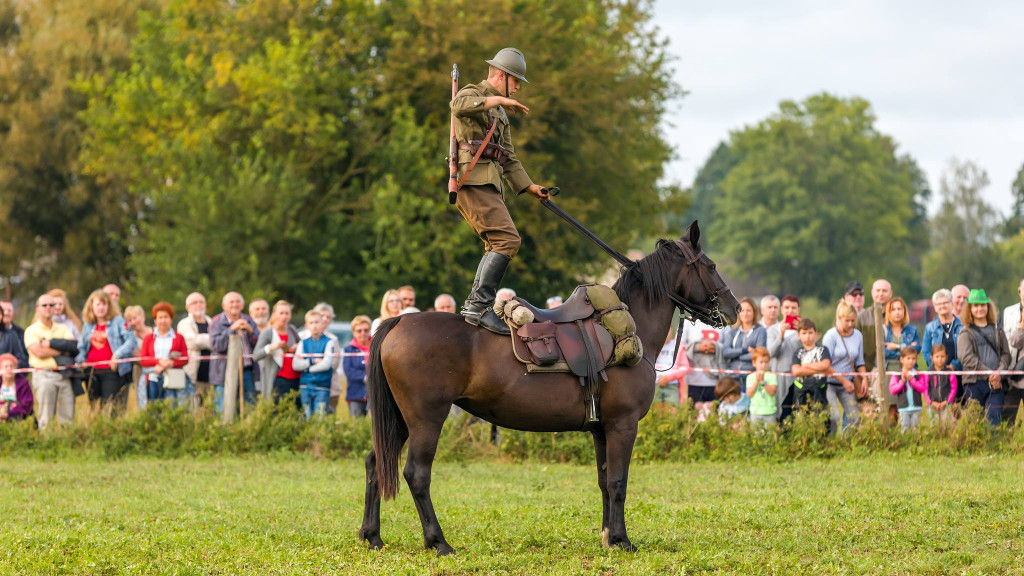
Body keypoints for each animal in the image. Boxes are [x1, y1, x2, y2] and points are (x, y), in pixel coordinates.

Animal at [358, 220, 737, 553]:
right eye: (711, 265)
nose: (734, 308)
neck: (628, 325)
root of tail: (399, 321)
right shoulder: (623, 425)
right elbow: (618, 482)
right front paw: (623, 540)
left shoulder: (602, 429)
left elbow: (604, 481)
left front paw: (608, 537)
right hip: (426, 420)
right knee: (416, 474)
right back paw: (438, 542)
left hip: (400, 420)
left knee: (375, 463)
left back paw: (373, 536)